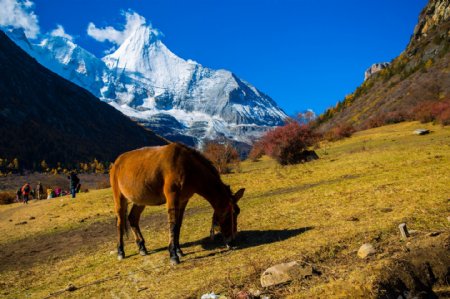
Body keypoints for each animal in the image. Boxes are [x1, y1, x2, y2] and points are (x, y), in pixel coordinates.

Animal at [110, 143, 244, 264]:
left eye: (237, 213)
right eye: (230, 214)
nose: (232, 241)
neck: (189, 167)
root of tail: (116, 162)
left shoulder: (183, 200)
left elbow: (178, 225)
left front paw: (178, 251)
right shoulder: (172, 198)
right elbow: (173, 225)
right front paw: (173, 255)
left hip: (140, 200)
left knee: (133, 218)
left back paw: (142, 247)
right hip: (119, 198)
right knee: (120, 222)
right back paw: (120, 251)